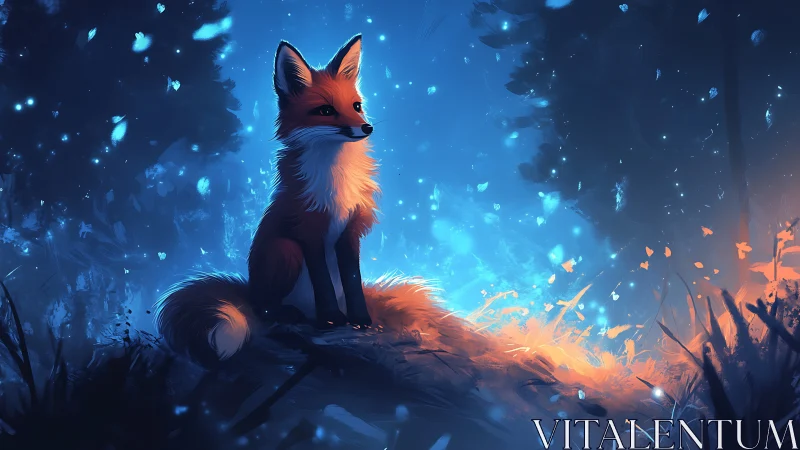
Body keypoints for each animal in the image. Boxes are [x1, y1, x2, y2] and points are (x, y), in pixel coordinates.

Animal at [154, 34, 380, 367]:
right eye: (326, 110)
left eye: (357, 106)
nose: (366, 128)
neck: (334, 175)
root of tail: (249, 290)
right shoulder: (307, 227)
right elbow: (323, 281)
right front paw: (331, 319)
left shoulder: (350, 229)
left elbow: (353, 279)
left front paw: (360, 319)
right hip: (286, 251)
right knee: (264, 309)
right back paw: (291, 314)